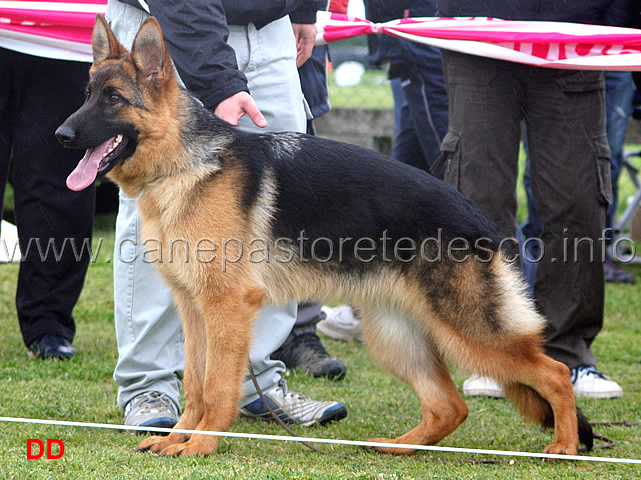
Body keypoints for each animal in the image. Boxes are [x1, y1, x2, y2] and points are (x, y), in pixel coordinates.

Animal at [57, 15, 592, 458]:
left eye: (113, 99)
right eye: (86, 94)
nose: (60, 136)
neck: (184, 164)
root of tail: (481, 223)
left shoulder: (226, 308)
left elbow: (218, 387)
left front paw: (202, 444)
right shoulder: (195, 311)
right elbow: (194, 382)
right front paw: (180, 437)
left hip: (470, 331)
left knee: (553, 373)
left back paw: (565, 447)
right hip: (395, 334)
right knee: (449, 406)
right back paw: (399, 446)